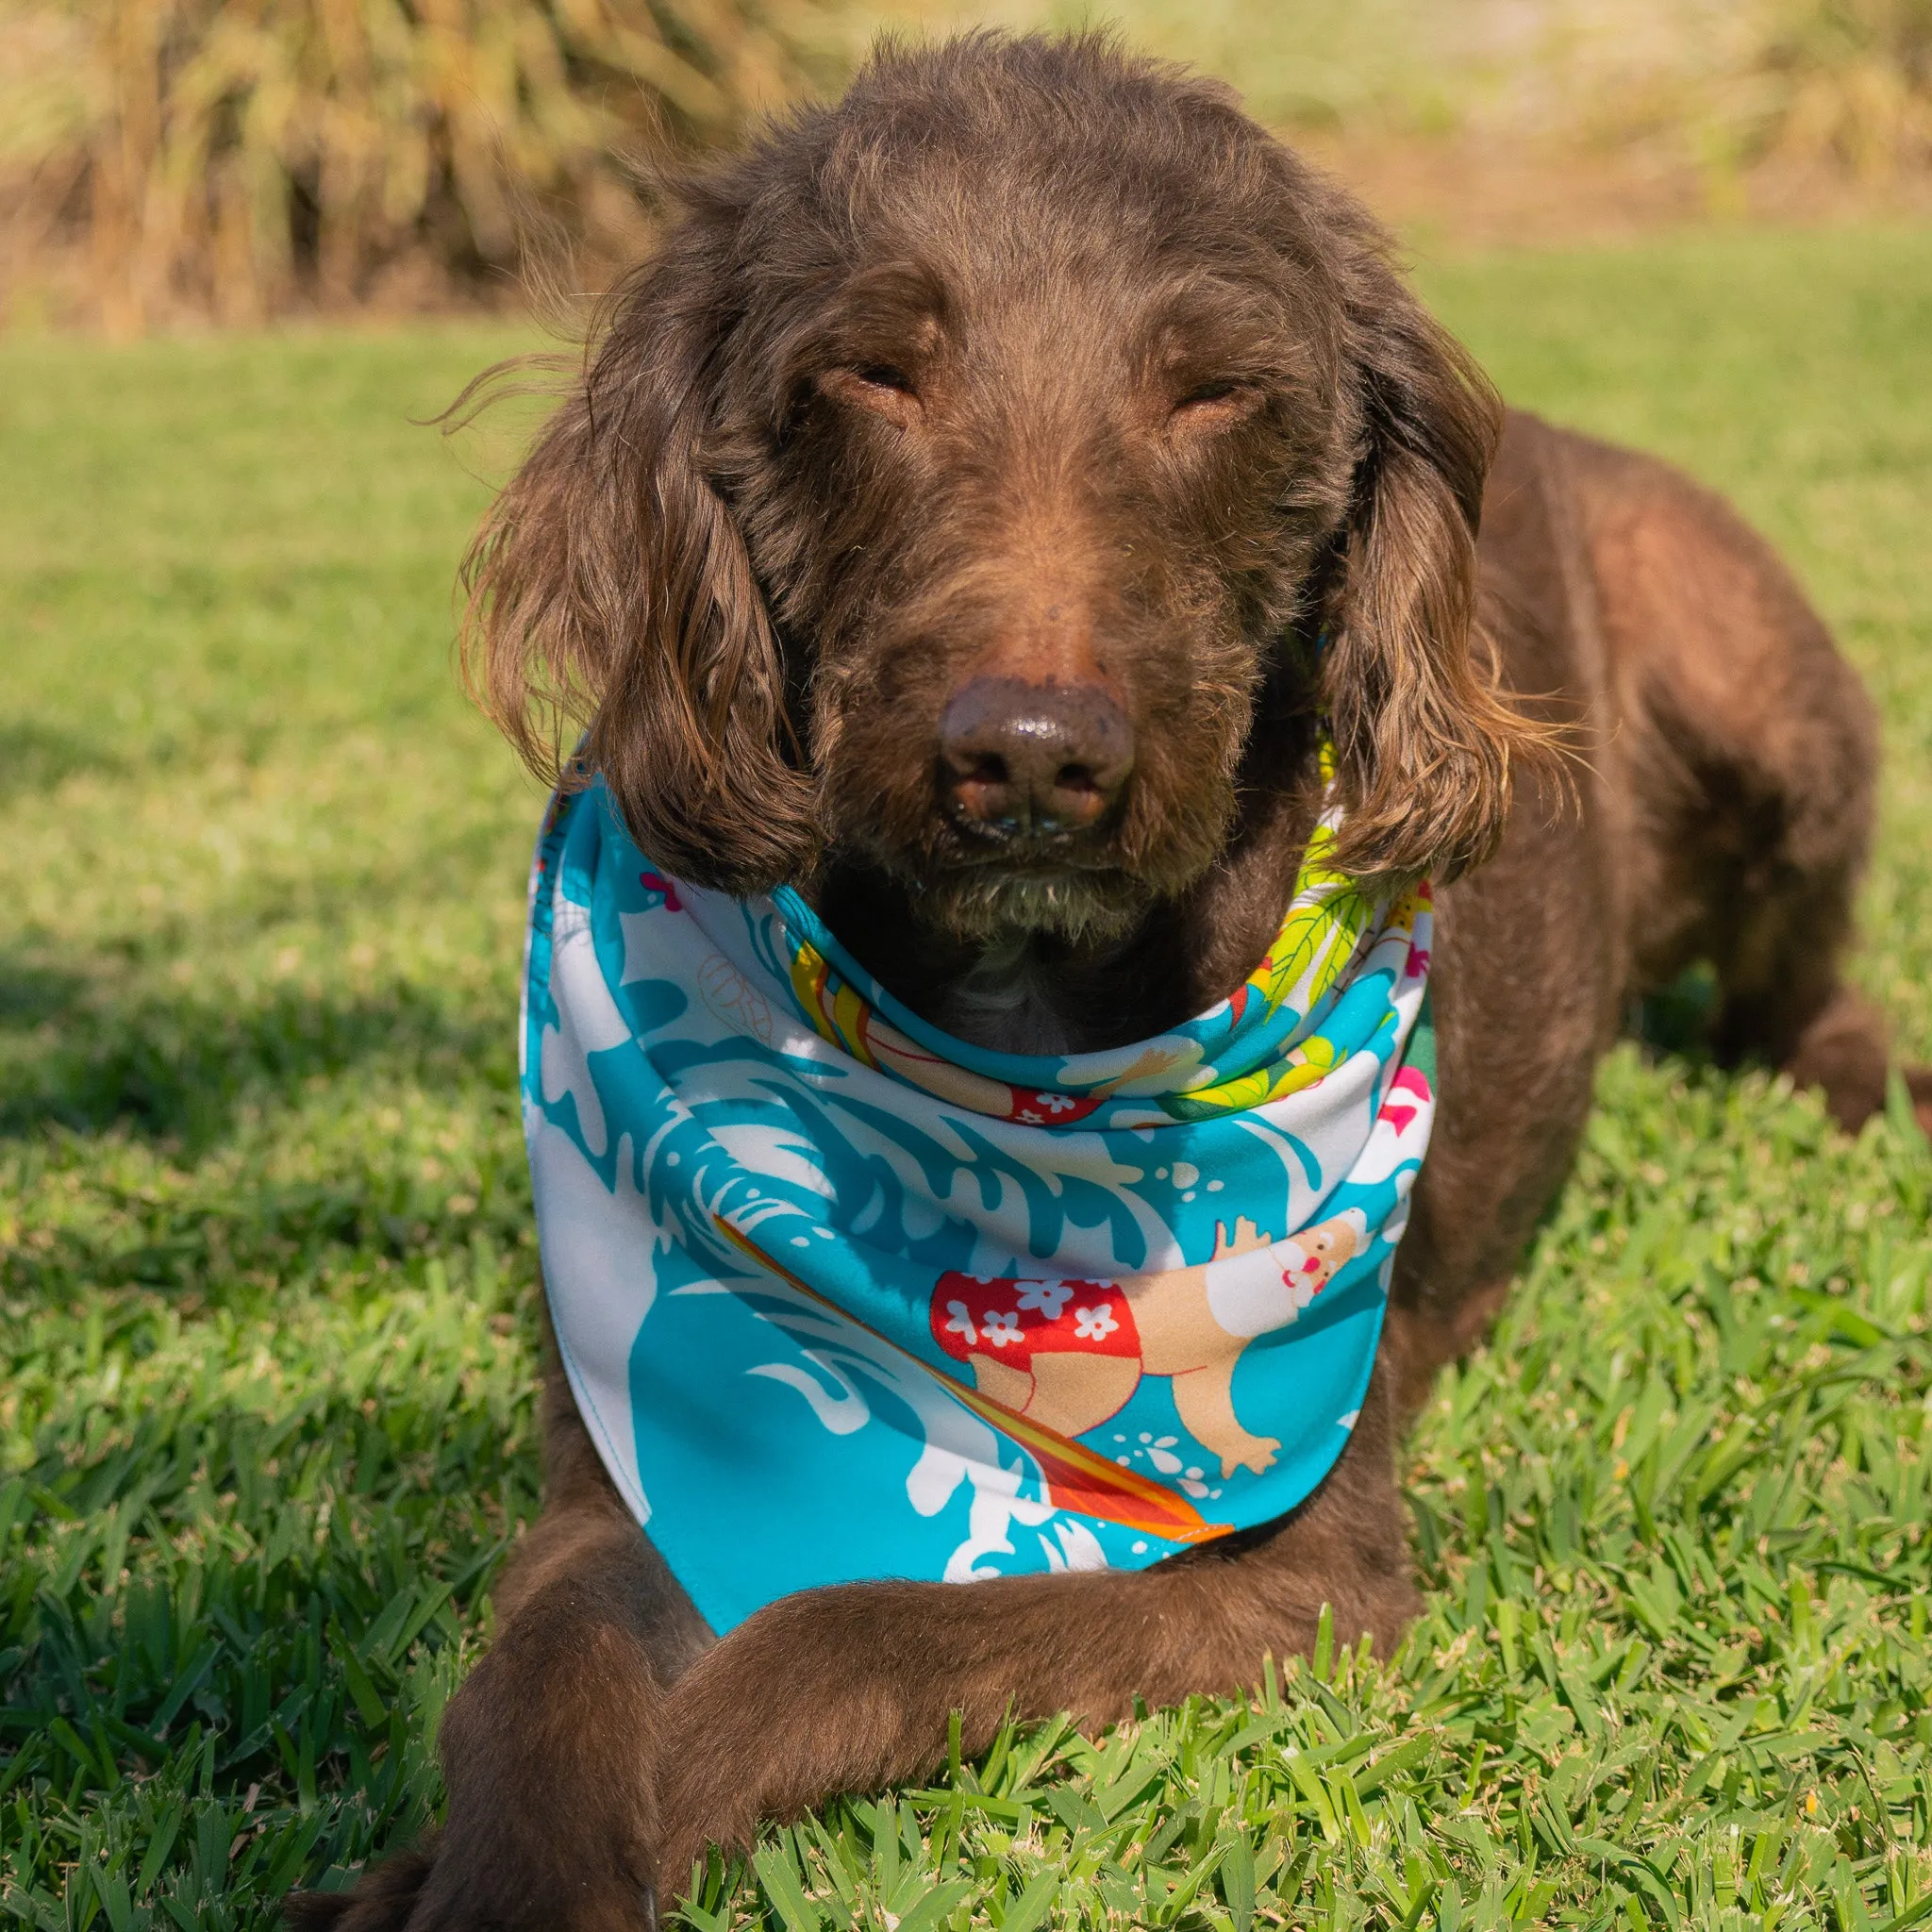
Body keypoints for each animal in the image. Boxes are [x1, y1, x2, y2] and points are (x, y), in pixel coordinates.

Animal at [290, 34, 1932, 1932]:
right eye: (868, 372)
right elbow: (535, 1677)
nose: (1029, 756)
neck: (1017, 1039)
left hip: (1765, 701)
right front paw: (490, 1871)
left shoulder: (1297, 1572)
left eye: (1214, 394)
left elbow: (847, 1635)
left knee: (1793, 987)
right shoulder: (611, 1452)